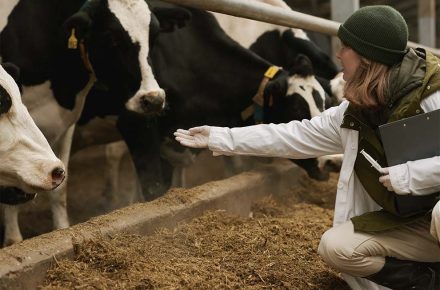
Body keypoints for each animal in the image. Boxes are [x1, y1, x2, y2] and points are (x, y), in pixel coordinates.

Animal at [0, 0, 191, 246]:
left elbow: (60, 189)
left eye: (154, 35)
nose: (154, 99)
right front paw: (14, 240)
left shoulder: (66, 125)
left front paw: (62, 230)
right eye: (111, 37)